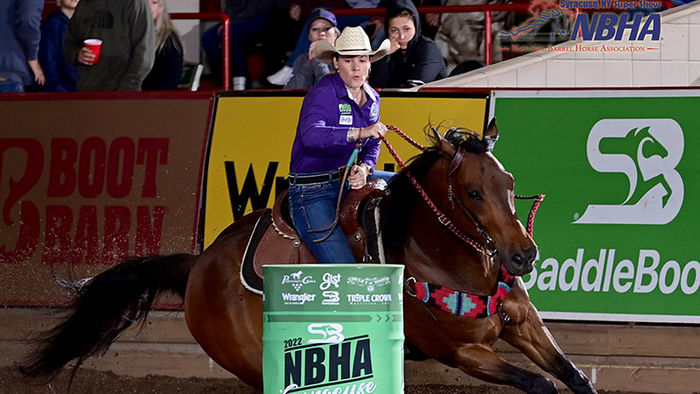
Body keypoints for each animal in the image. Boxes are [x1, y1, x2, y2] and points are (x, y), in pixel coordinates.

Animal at [19, 120, 596, 394]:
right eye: (474, 193)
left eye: (509, 182)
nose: (523, 256)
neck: (434, 255)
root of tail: (199, 264)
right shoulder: (461, 352)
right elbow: (539, 382)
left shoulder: (523, 323)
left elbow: (573, 377)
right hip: (257, 364)